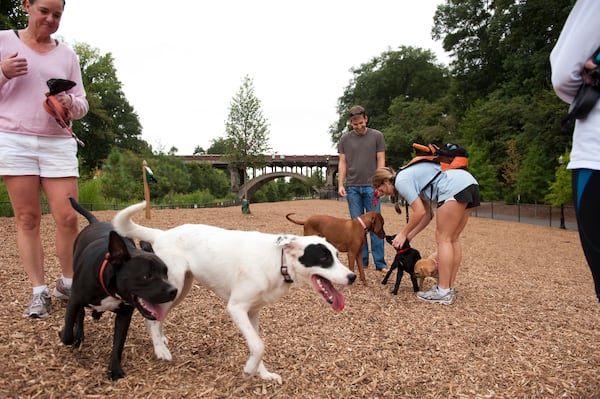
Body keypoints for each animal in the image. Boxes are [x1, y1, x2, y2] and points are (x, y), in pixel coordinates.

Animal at [59, 200, 177, 382]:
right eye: (146, 276)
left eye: (166, 272)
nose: (174, 290)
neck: (110, 289)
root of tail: (96, 222)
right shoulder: (75, 300)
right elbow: (67, 335)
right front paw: (70, 335)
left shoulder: (124, 316)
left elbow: (118, 344)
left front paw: (114, 369)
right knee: (80, 314)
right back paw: (80, 333)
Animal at [112, 203, 354, 384]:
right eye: (324, 258)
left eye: (336, 255)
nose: (352, 276)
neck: (279, 261)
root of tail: (162, 234)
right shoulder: (236, 307)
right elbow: (258, 345)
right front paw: (248, 371)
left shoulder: (253, 312)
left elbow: (257, 344)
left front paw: (262, 374)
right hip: (174, 284)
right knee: (152, 317)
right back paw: (160, 350)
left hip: (180, 289)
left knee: (155, 316)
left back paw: (160, 341)